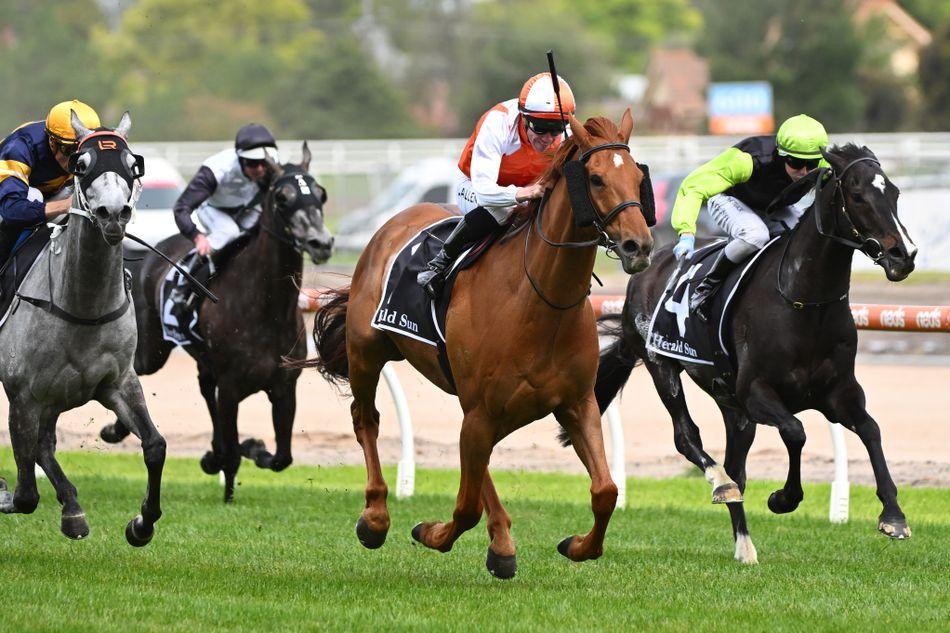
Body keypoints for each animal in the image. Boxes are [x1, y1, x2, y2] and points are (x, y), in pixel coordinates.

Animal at [0, 110, 165, 544]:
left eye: (132, 163)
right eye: (82, 164)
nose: (113, 213)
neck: (82, 305)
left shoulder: (118, 383)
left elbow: (155, 445)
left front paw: (141, 523)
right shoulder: (23, 395)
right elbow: (25, 494)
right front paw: (4, 493)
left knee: (45, 446)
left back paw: (72, 508)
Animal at [101, 146, 334, 502]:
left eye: (321, 194)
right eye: (282, 197)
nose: (321, 242)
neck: (266, 309)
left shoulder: (284, 387)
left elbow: (282, 457)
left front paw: (249, 449)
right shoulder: (232, 387)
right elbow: (235, 452)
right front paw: (229, 482)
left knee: (204, 387)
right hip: (153, 352)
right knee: (132, 371)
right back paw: (116, 429)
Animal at [304, 113, 656, 576]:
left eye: (638, 177)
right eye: (595, 178)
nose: (640, 245)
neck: (540, 300)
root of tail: (392, 225)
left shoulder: (576, 404)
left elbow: (606, 491)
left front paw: (578, 545)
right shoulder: (484, 411)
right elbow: (466, 506)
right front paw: (431, 534)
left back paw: (502, 544)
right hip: (367, 352)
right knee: (367, 419)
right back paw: (375, 518)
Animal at [596, 144, 916, 564]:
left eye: (894, 192)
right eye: (858, 195)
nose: (904, 255)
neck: (804, 301)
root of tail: (647, 269)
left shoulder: (839, 394)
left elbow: (871, 430)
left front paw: (893, 515)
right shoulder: (757, 392)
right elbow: (795, 431)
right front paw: (784, 498)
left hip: (729, 402)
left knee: (738, 467)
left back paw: (744, 546)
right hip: (661, 365)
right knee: (688, 437)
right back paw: (720, 484)